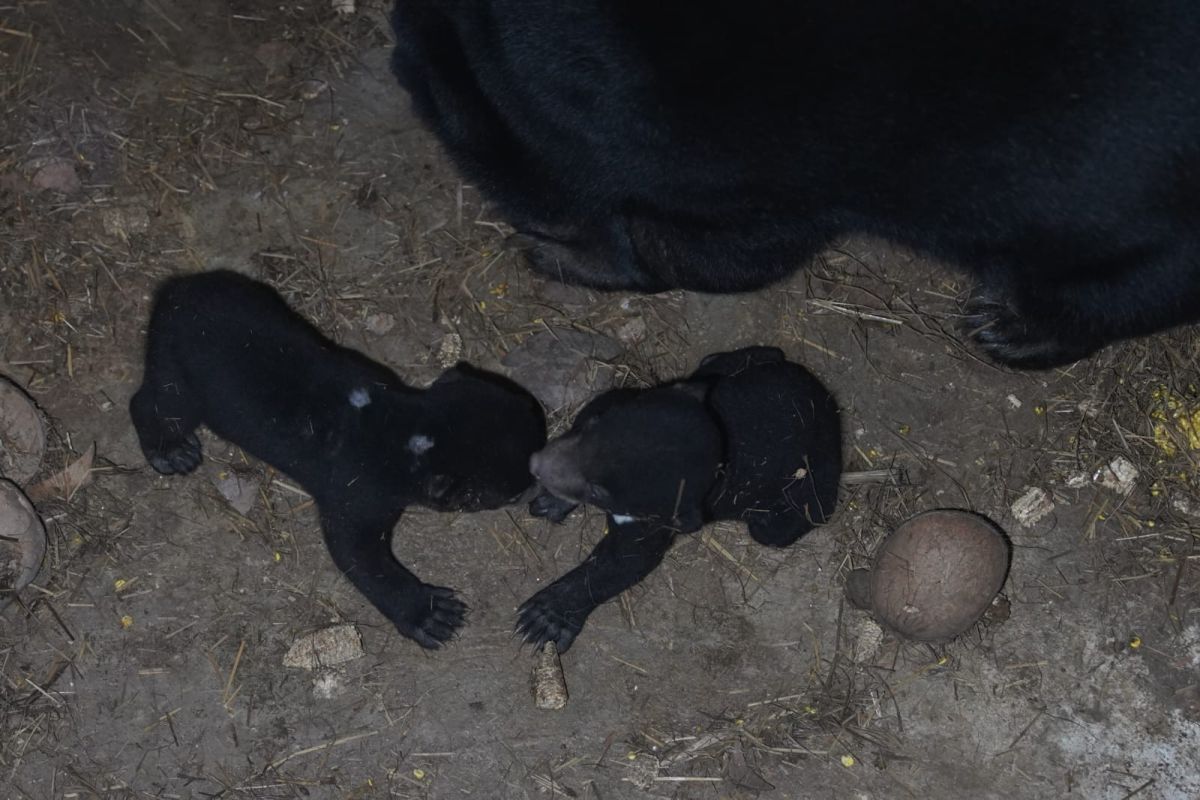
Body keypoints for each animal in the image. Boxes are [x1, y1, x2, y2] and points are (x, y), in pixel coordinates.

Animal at [130, 272, 544, 647]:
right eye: (511, 493)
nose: (537, 486)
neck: (401, 427)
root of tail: (174, 289)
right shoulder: (356, 494)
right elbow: (359, 556)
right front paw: (429, 614)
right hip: (177, 374)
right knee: (154, 403)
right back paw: (170, 451)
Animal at [518, 345, 844, 652]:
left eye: (599, 489)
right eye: (591, 429)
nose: (537, 465)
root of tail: (825, 400)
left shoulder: (661, 515)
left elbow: (626, 561)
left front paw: (545, 617)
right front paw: (551, 500)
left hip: (807, 488)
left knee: (783, 525)